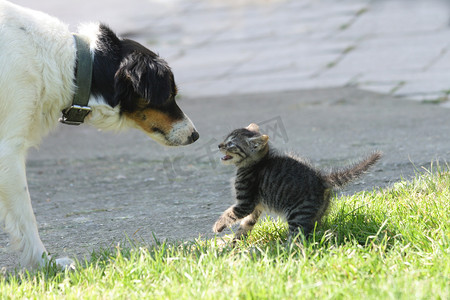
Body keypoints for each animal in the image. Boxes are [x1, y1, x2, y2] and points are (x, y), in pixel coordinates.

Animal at [0, 0, 200, 270]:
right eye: (169, 93)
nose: (195, 135)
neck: (70, 63)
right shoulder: (8, 151)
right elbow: (27, 217)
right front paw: (47, 265)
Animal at [213, 123, 382, 240]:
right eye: (225, 140)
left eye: (231, 144)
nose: (219, 145)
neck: (255, 163)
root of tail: (321, 178)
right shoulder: (255, 207)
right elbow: (245, 225)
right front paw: (235, 244)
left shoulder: (246, 203)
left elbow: (230, 213)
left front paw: (218, 226)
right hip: (316, 215)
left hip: (298, 215)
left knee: (298, 239)